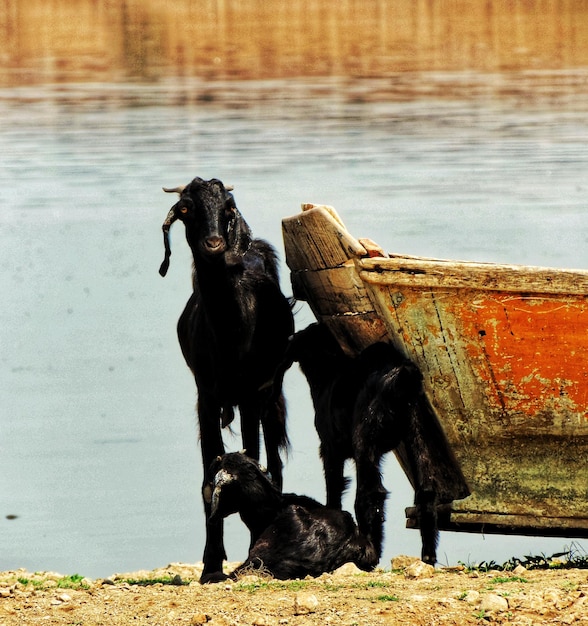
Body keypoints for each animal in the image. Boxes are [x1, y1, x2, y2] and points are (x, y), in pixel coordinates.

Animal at [158, 174, 294, 580]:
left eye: (227, 209)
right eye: (186, 208)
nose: (214, 244)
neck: (233, 334)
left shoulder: (252, 394)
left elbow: (255, 465)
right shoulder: (206, 395)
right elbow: (208, 479)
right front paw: (211, 566)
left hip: (270, 396)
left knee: (273, 463)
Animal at [274, 322, 470, 564]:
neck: (328, 373)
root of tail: (401, 375)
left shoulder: (330, 449)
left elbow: (334, 489)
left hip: (365, 438)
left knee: (370, 495)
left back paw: (370, 553)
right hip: (418, 433)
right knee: (426, 491)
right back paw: (427, 556)